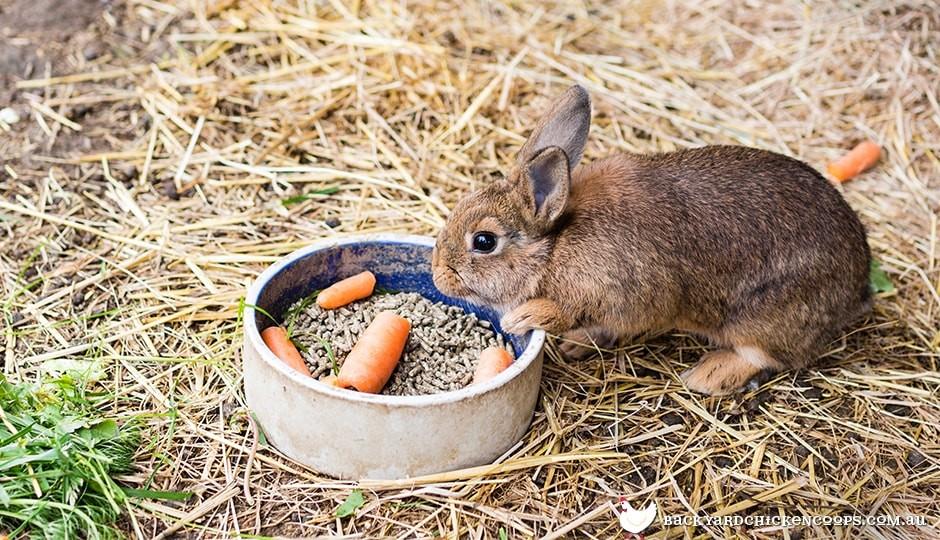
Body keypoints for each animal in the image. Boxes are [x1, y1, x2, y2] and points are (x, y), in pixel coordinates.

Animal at [434, 85, 872, 396]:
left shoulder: (622, 292)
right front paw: (576, 343)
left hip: (763, 318)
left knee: (766, 355)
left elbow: (570, 310)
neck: (556, 245)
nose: (438, 275)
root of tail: (859, 286)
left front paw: (525, 317)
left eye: (484, 241)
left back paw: (708, 375)